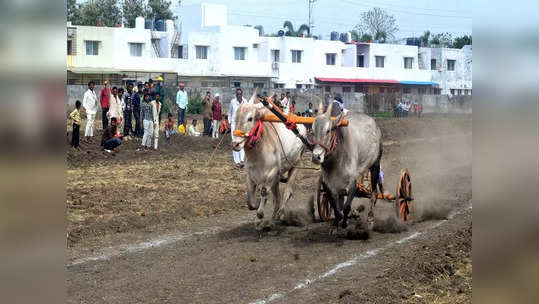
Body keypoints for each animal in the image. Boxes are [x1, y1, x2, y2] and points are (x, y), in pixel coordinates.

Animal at [232, 91, 308, 229]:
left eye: (250, 118)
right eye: (235, 118)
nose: (236, 144)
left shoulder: (272, 174)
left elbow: (263, 192)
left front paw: (259, 217)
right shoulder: (250, 175)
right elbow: (250, 201)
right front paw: (257, 207)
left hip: (295, 165)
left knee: (287, 193)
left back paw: (281, 214)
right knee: (277, 198)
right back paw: (273, 218)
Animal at [310, 100, 382, 230]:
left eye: (328, 130)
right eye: (312, 131)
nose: (316, 156)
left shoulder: (353, 183)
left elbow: (346, 207)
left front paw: (345, 222)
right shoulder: (329, 185)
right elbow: (337, 209)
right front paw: (336, 225)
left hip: (375, 165)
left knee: (373, 194)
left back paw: (370, 218)